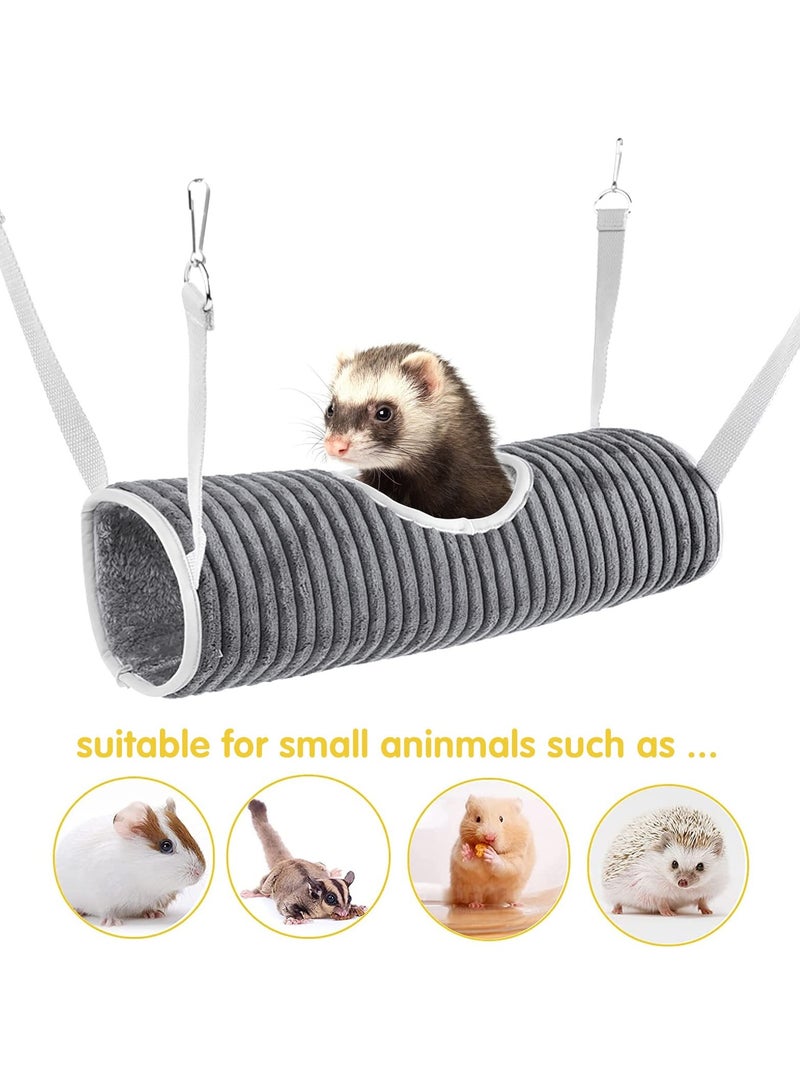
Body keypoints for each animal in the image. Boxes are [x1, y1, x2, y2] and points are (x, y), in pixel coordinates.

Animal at [55, 798, 206, 927]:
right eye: (166, 845)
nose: (200, 871)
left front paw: (155, 914)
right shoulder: (100, 897)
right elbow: (107, 911)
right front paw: (113, 923)